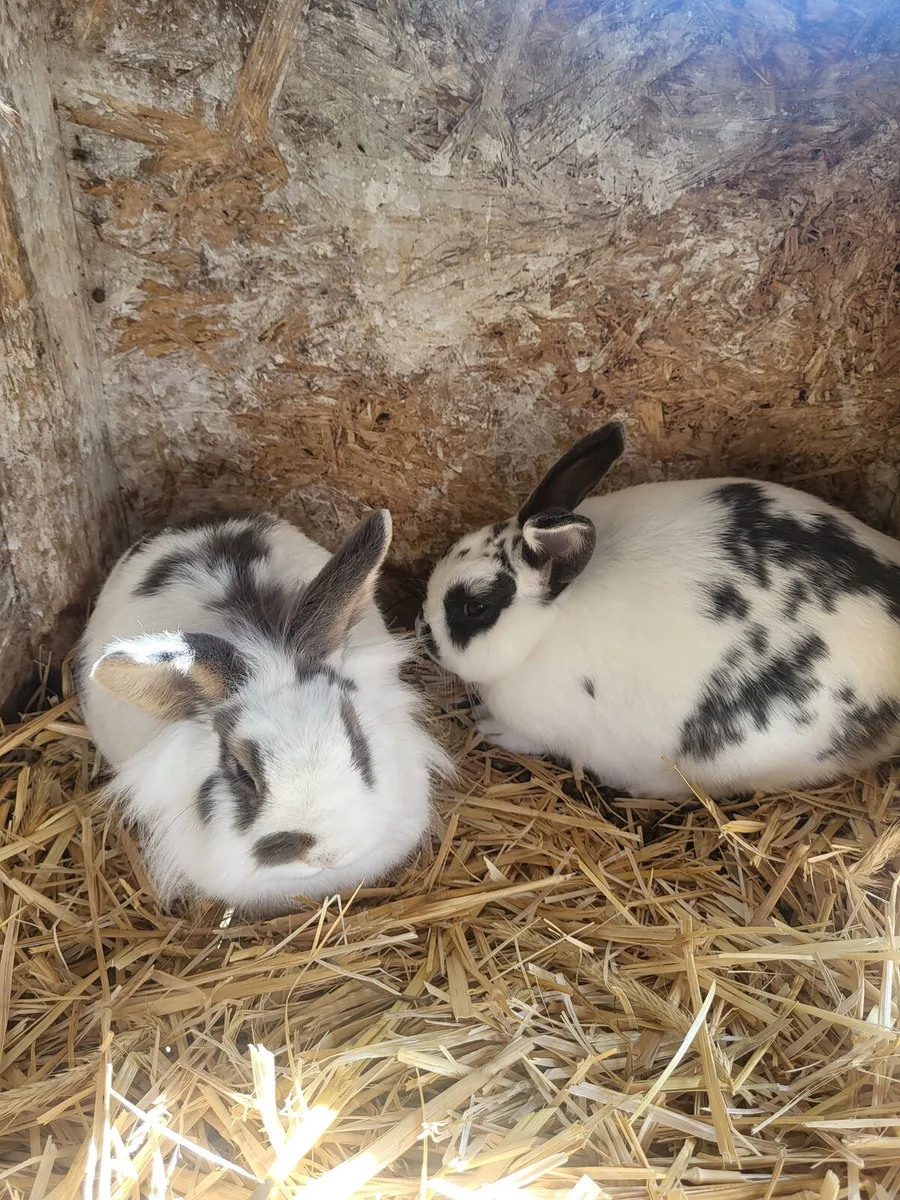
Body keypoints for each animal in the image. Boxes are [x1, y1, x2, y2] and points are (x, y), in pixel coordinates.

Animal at [417, 422, 900, 801]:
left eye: (475, 606)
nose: (423, 631)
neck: (546, 626)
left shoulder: (543, 726)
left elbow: (525, 738)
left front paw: (488, 727)